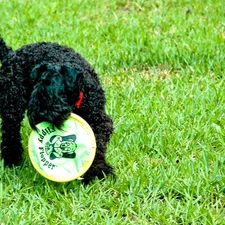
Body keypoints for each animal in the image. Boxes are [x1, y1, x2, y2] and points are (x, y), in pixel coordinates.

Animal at [0, 35, 113, 183]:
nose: (40, 113)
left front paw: (97, 172)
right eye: (35, 90)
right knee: (10, 135)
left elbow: (97, 147)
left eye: (56, 94)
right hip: (12, 108)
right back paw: (11, 161)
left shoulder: (100, 123)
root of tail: (10, 54)